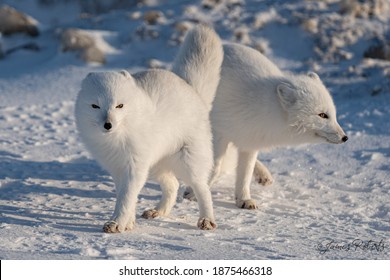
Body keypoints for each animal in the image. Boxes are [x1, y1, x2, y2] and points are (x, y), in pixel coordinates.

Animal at [75, 25, 222, 232]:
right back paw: (158, 212)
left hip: (188, 162)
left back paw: (206, 220)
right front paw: (128, 223)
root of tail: (190, 87)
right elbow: (126, 196)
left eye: (119, 106)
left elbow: (126, 197)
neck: (117, 139)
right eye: (95, 106)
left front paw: (116, 223)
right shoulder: (117, 167)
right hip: (155, 166)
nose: (108, 124)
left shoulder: (134, 166)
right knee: (173, 184)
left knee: (202, 188)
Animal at [184, 42, 348, 210]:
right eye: (322, 115)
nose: (345, 137)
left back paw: (263, 174)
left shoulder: (250, 143)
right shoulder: (218, 134)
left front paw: (243, 199)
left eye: (333, 115)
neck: (263, 109)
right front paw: (195, 192)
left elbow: (245, 174)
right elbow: (214, 167)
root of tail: (225, 43)